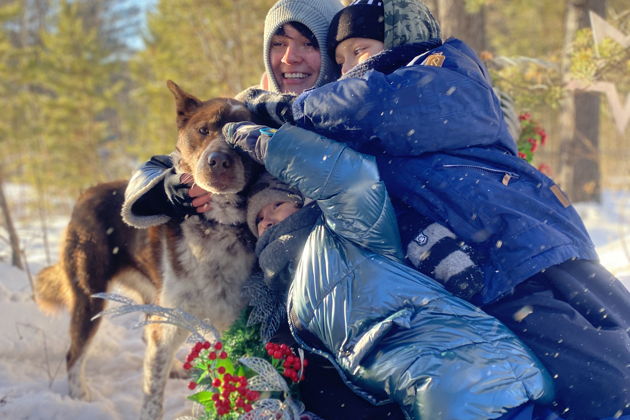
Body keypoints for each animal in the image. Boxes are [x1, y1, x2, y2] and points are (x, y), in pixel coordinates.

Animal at [34, 80, 262, 418]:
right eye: (204, 130)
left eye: (241, 137)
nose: (218, 161)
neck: (215, 225)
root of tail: (86, 193)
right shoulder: (170, 325)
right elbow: (153, 396)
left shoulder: (227, 324)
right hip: (90, 297)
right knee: (74, 353)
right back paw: (79, 397)